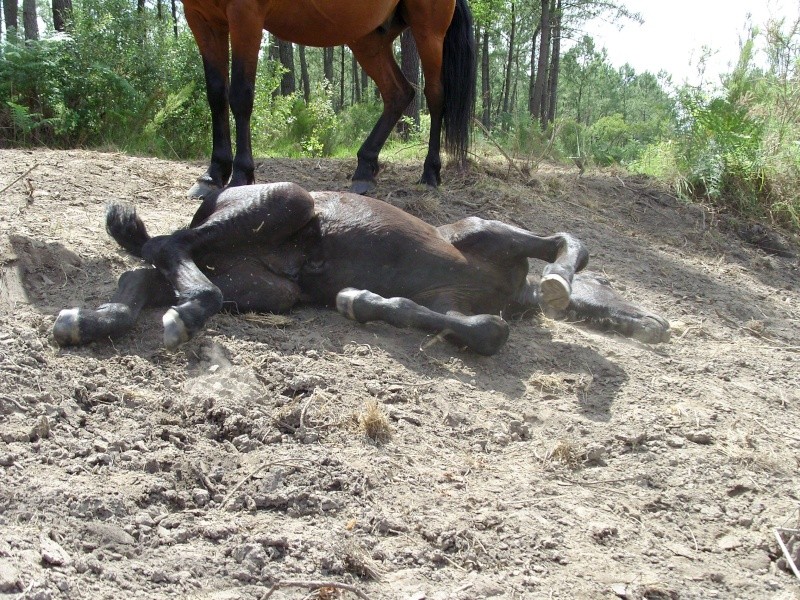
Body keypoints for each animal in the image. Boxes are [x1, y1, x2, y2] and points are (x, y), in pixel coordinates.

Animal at [53, 180, 672, 354]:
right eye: (615, 289)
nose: (660, 325)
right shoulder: (481, 232)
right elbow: (569, 244)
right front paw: (559, 285)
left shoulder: (449, 303)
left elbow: (478, 329)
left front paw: (361, 301)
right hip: (287, 199)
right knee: (166, 245)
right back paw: (182, 315)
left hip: (263, 285)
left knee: (150, 270)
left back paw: (90, 321)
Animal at [183, 0, 476, 197]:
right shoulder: (201, 18)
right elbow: (216, 95)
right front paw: (212, 175)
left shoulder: (245, 14)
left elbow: (241, 95)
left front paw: (242, 174)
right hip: (368, 39)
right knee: (398, 93)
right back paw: (364, 169)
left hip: (428, 30)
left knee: (435, 97)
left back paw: (430, 173)